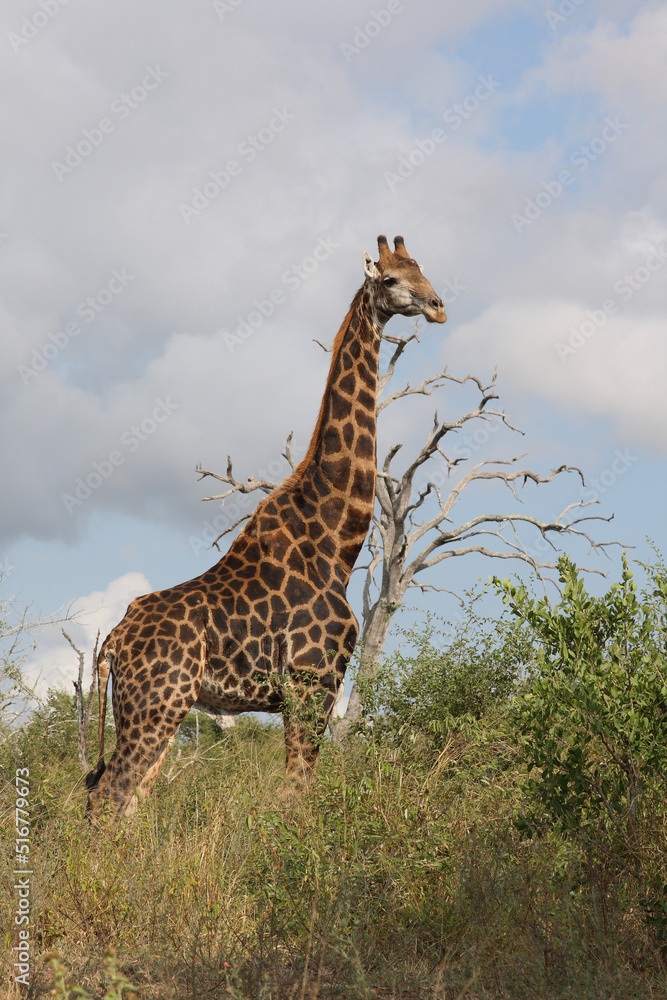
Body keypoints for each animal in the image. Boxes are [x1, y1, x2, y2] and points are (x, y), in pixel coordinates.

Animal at [86, 235, 446, 819]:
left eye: (423, 269)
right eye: (391, 279)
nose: (438, 306)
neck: (336, 543)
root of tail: (114, 640)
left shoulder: (312, 690)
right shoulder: (311, 682)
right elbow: (295, 797)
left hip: (148, 710)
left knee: (123, 801)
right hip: (156, 704)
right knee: (105, 798)